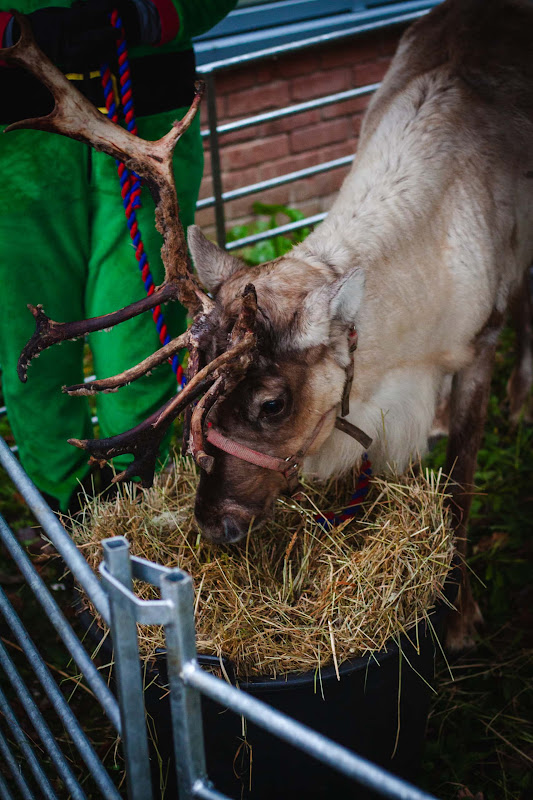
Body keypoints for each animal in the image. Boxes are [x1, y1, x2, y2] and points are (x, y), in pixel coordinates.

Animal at [3, 0, 533, 650]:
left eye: (272, 405)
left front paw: (459, 620)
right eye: (195, 388)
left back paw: (521, 401)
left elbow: (460, 484)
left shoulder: (479, 344)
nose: (212, 526)